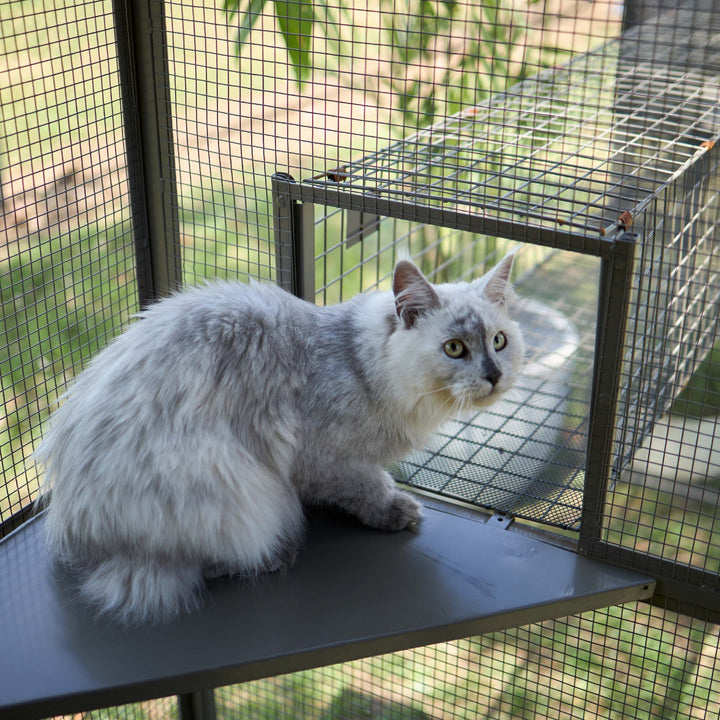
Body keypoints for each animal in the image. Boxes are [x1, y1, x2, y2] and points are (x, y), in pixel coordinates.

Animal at [35, 250, 524, 620]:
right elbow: (368, 488)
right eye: (454, 349)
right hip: (233, 488)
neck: (358, 363)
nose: (494, 376)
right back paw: (276, 555)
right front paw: (395, 510)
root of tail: (75, 531)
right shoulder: (327, 460)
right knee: (204, 562)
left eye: (498, 342)